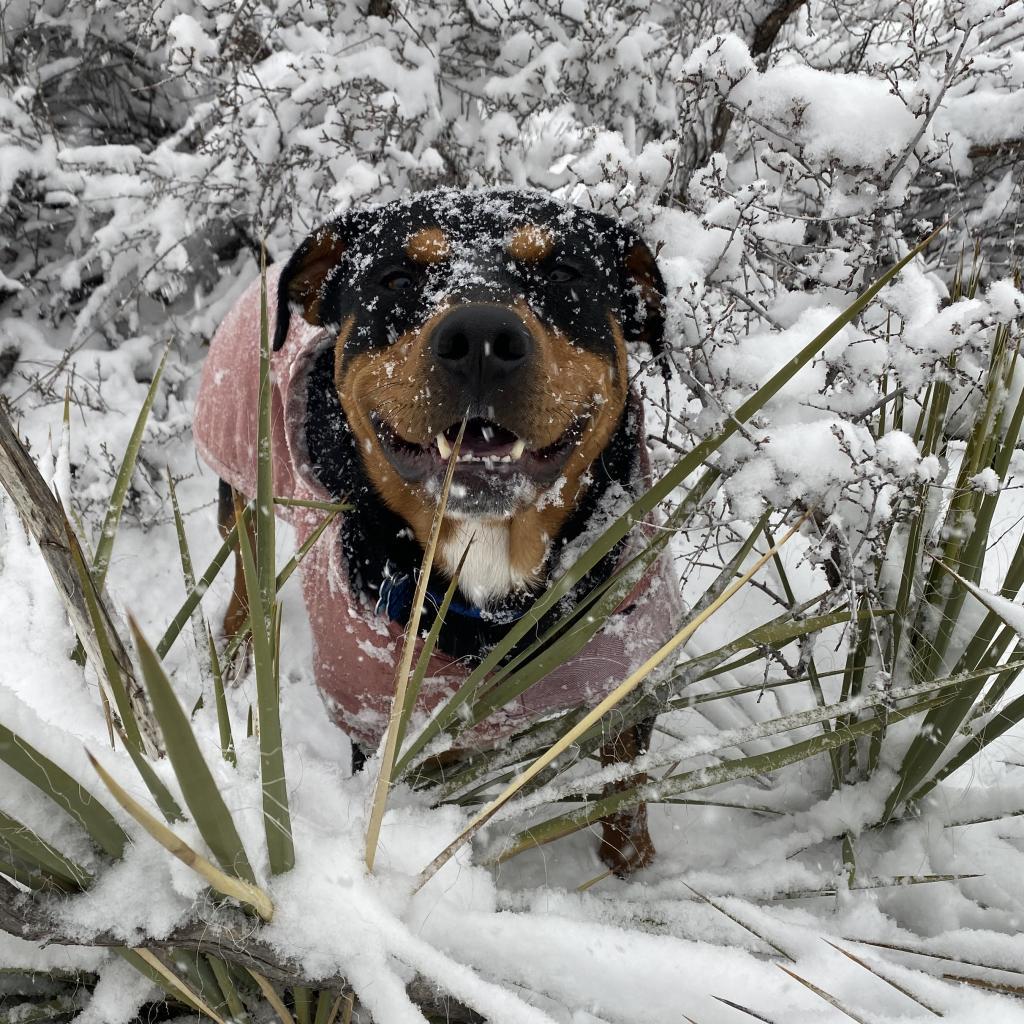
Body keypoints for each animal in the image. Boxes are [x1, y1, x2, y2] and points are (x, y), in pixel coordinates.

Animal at [195, 188, 684, 876]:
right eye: (396, 278)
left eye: (565, 273)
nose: (480, 335)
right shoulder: (387, 728)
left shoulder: (629, 679)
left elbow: (626, 796)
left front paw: (633, 874)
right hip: (241, 483)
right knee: (243, 572)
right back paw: (237, 658)